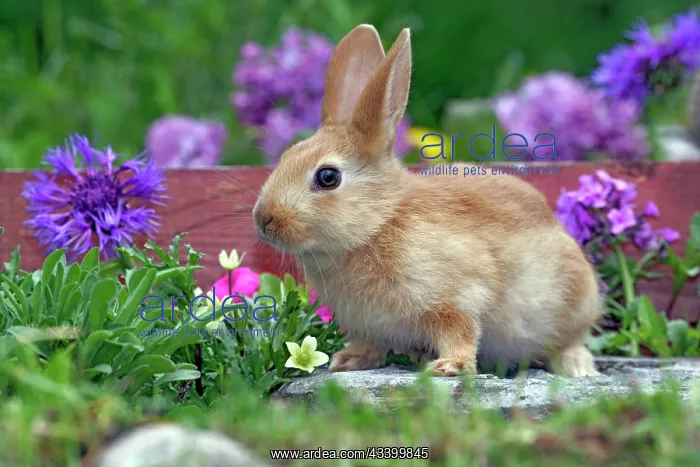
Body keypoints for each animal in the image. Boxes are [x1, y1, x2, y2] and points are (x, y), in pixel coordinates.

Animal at [252, 24, 602, 378]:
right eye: (286, 156)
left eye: (327, 177)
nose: (264, 219)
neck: (379, 223)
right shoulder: (369, 326)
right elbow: (371, 344)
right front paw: (348, 361)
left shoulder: (457, 297)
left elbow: (460, 331)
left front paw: (451, 367)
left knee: (571, 340)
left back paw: (577, 367)